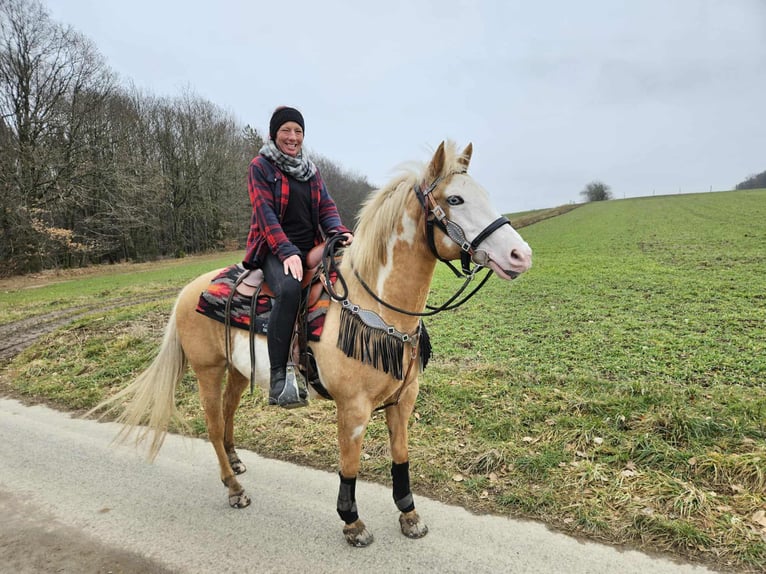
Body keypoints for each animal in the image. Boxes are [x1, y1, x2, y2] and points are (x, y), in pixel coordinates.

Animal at [90, 140, 532, 547]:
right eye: (455, 199)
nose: (520, 254)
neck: (375, 304)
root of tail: (187, 291)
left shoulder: (402, 401)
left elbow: (401, 458)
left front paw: (409, 516)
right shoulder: (353, 409)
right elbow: (349, 466)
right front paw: (352, 522)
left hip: (238, 371)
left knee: (229, 414)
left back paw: (236, 461)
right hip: (207, 371)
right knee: (214, 426)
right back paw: (234, 488)